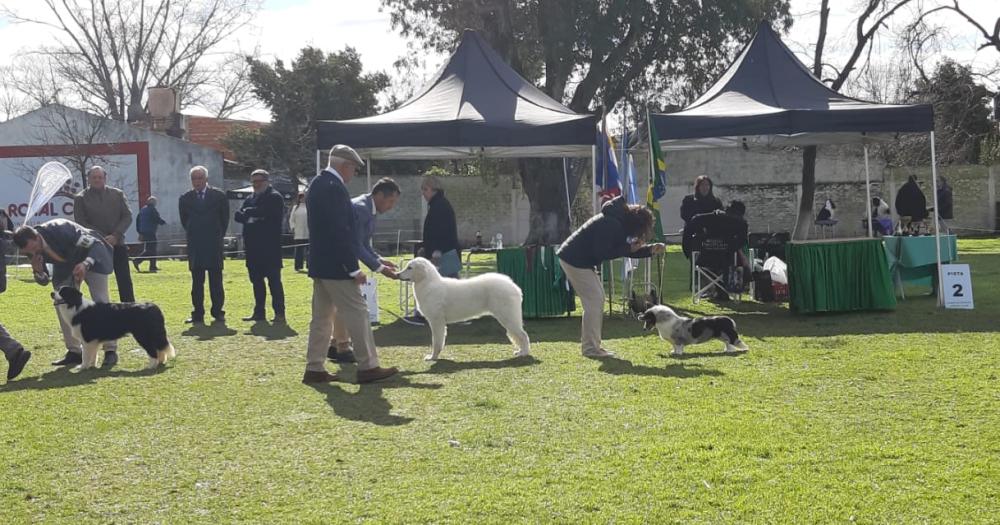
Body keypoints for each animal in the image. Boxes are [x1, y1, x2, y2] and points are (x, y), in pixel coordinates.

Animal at [396, 258, 532, 360]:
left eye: (410, 268)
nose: (397, 274)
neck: (428, 283)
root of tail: (515, 287)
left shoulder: (436, 321)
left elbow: (436, 341)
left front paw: (432, 357)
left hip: (508, 317)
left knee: (523, 335)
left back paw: (524, 353)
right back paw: (521, 351)